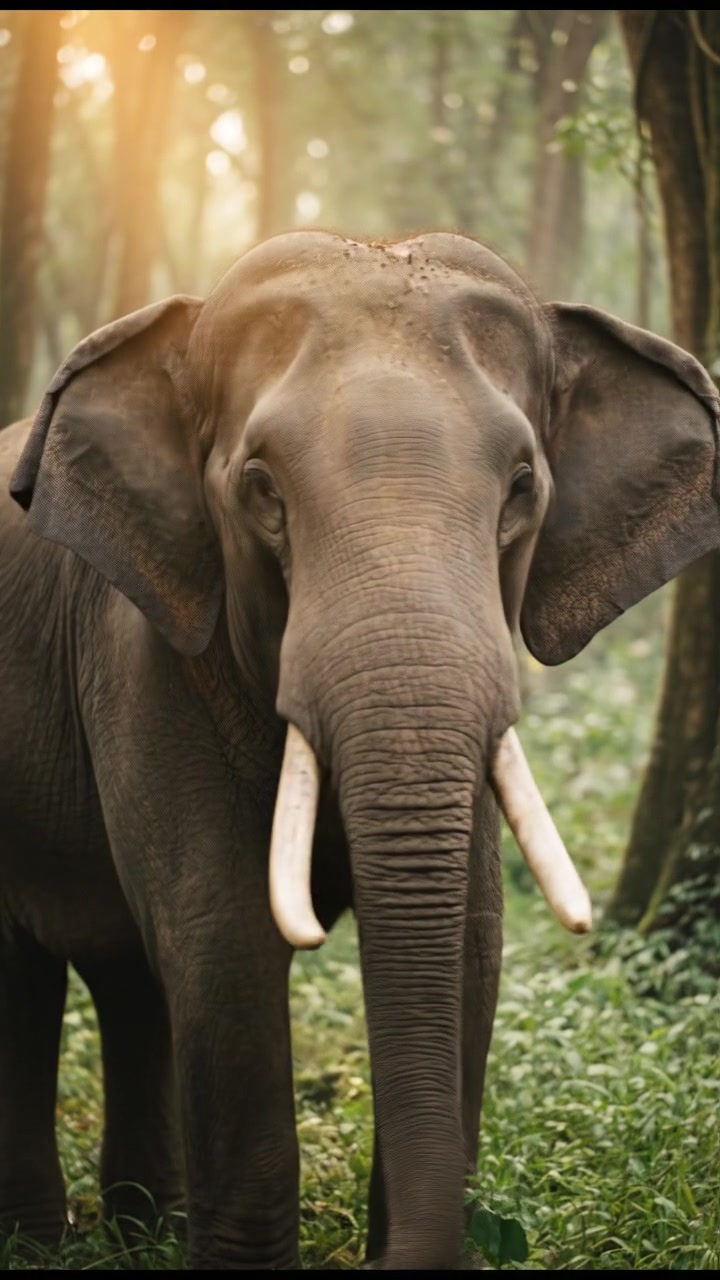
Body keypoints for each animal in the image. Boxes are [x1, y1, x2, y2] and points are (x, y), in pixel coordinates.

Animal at [1, 230, 719, 1271]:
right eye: (260, 489)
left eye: (522, 488)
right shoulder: (141, 650)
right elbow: (222, 934)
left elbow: (470, 939)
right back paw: (41, 1242)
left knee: (122, 970)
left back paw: (143, 1230)